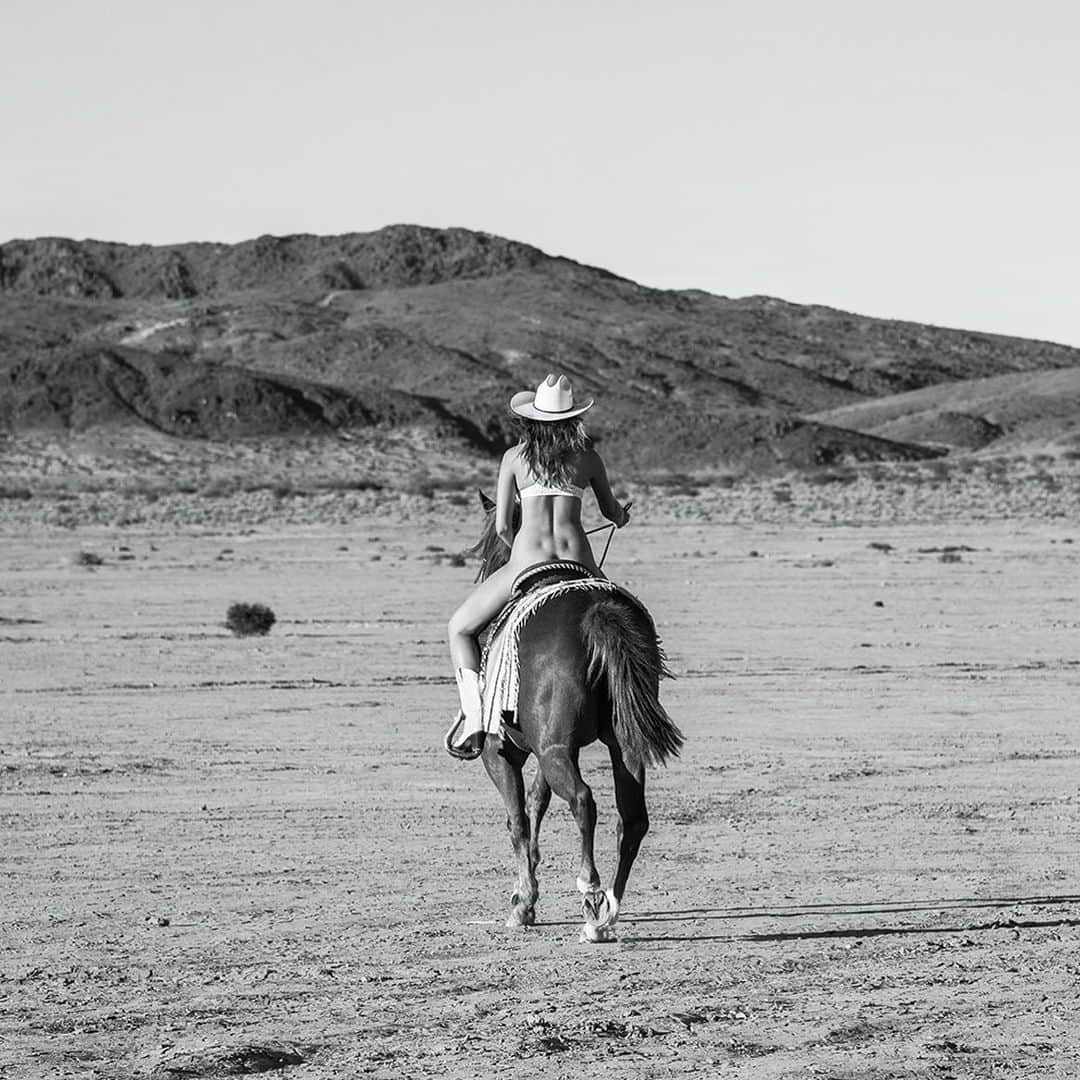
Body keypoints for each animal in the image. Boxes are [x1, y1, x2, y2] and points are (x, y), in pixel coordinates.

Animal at [466, 494, 682, 941]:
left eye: (489, 549)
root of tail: (595, 611)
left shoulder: (503, 751)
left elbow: (518, 818)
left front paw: (524, 903)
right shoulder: (557, 748)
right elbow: (537, 801)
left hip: (552, 750)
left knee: (583, 801)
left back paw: (590, 893)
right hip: (620, 744)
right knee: (632, 819)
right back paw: (607, 911)